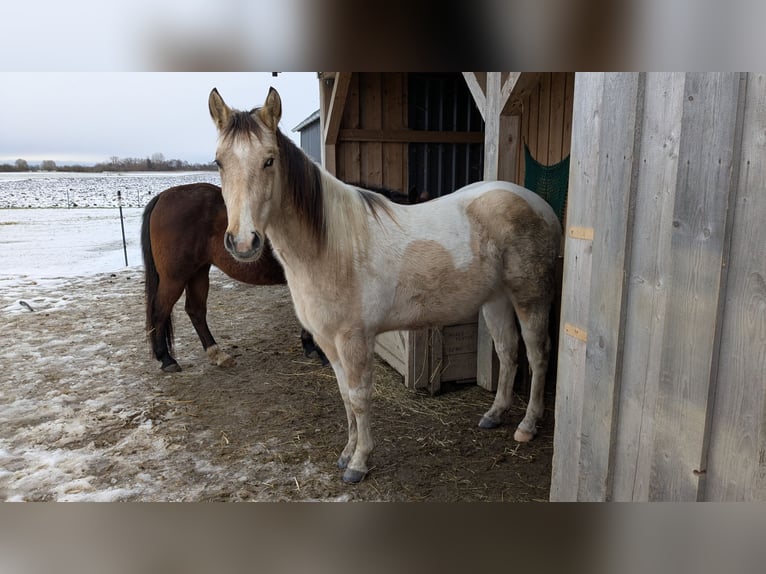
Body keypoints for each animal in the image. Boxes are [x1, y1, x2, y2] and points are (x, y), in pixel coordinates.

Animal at [141, 184, 328, 374]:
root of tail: (162, 196)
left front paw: (310, 346)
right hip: (175, 278)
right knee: (160, 311)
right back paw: (166, 359)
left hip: (198, 272)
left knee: (196, 311)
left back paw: (217, 354)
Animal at [210, 88, 564, 484]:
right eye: (219, 162)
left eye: (269, 161)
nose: (243, 242)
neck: (333, 247)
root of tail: (538, 204)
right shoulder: (328, 341)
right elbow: (344, 396)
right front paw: (346, 453)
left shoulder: (354, 340)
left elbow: (360, 398)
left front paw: (359, 462)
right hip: (497, 299)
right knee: (507, 351)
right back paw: (495, 414)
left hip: (530, 298)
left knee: (538, 355)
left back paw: (527, 425)